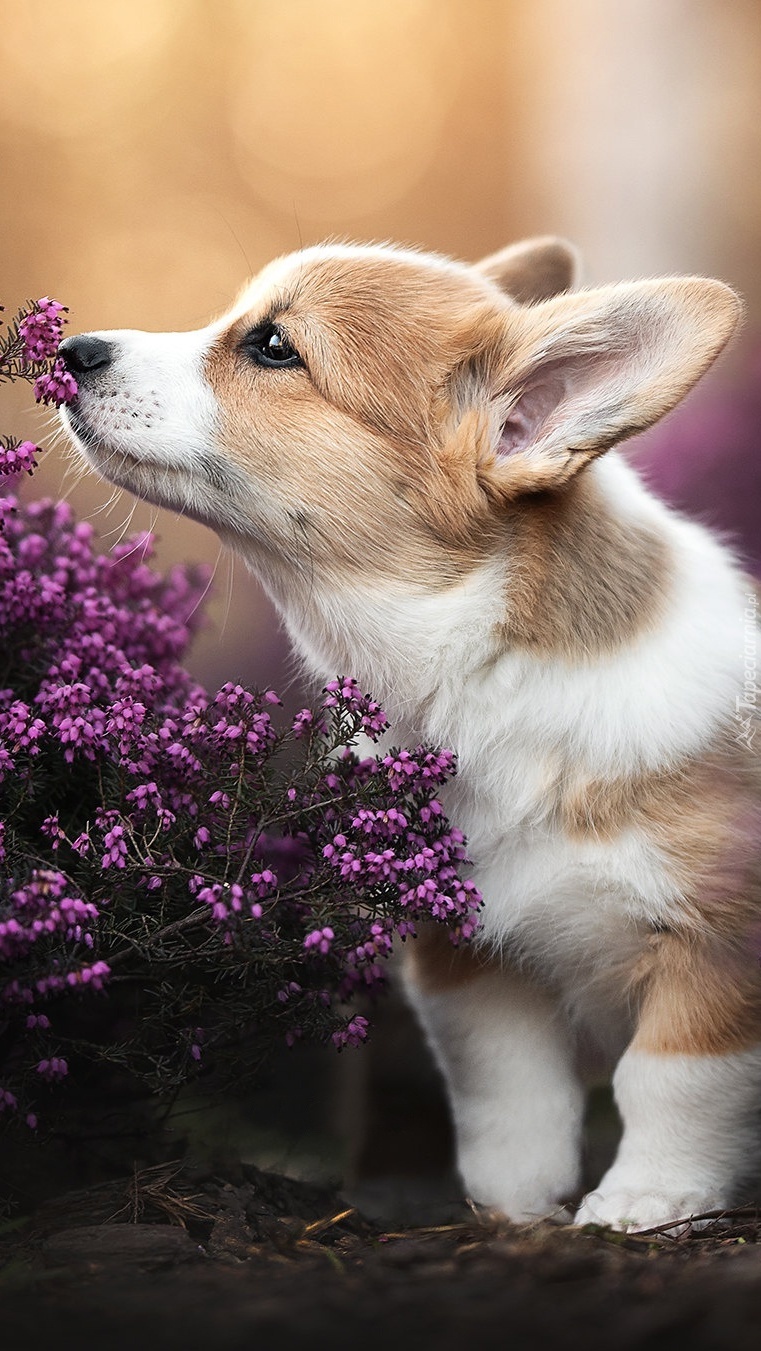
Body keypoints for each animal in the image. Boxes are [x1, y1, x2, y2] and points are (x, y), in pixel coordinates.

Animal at [61, 235, 761, 1237]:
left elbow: (671, 1079)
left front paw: (646, 1200)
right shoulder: (470, 956)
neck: (487, 674)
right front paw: (514, 1205)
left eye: (273, 346)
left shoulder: (718, 949)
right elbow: (508, 1087)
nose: (69, 350)